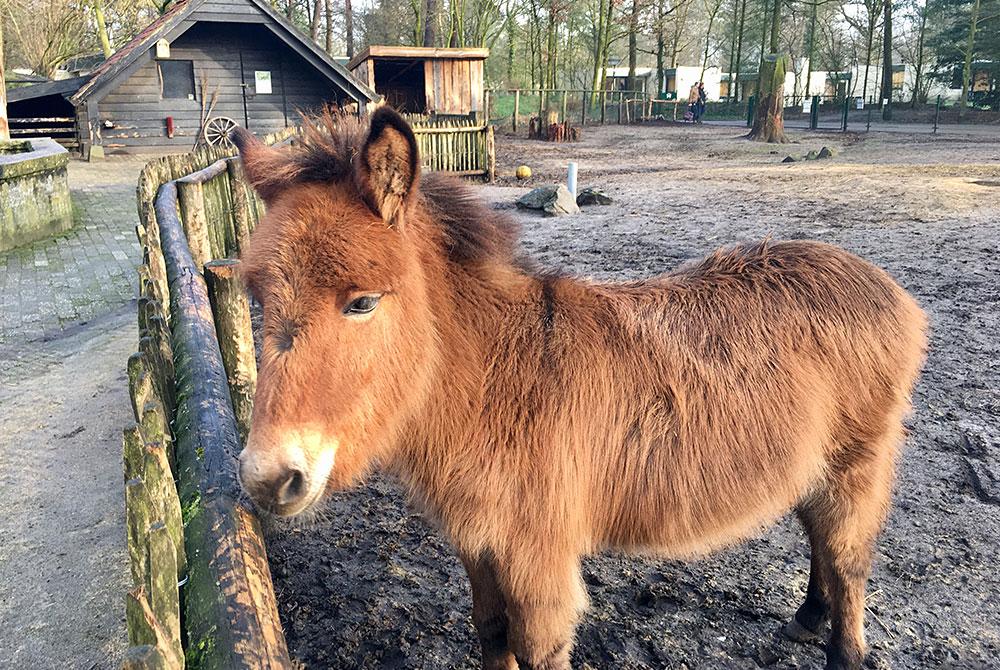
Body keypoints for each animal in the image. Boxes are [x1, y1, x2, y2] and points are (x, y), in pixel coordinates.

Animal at [234, 110, 928, 670]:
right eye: (257, 297)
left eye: (363, 303)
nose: (268, 479)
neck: (493, 381)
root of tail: (882, 283)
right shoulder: (479, 549)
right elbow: (492, 635)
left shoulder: (537, 562)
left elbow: (536, 649)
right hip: (816, 468)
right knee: (823, 544)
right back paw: (807, 619)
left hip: (858, 466)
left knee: (850, 562)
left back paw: (839, 646)